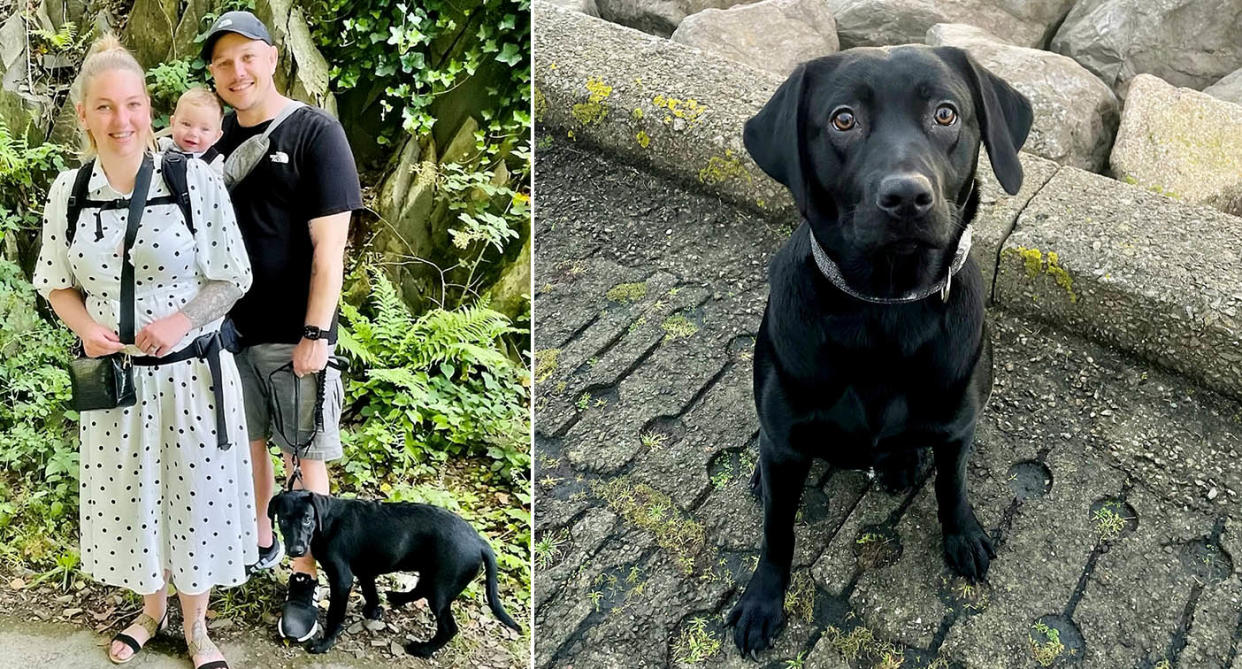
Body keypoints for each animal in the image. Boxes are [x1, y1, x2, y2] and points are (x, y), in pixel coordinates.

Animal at [269, 489, 521, 655]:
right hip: (432, 573)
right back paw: (397, 598)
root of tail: (479, 541)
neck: (327, 520)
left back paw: (423, 649)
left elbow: (335, 614)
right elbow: (370, 591)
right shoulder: (364, 570)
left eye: (307, 519)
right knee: (421, 588)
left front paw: (324, 643)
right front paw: (373, 611)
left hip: (441, 586)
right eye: (283, 521)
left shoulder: (342, 579)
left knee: (449, 627)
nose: (296, 550)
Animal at [725, 47, 1033, 655]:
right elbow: (777, 532)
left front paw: (963, 536)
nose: (906, 197)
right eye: (843, 119)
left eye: (946, 113)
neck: (885, 307)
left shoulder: (958, 427)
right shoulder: (785, 441)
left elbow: (952, 486)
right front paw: (763, 600)